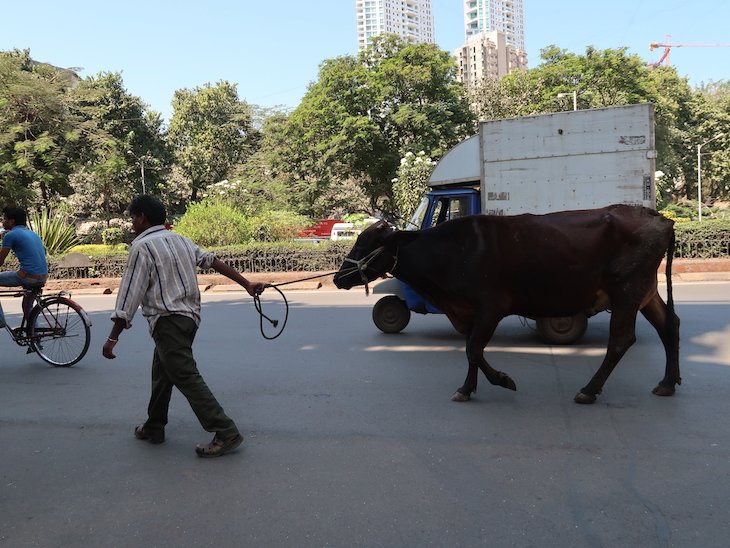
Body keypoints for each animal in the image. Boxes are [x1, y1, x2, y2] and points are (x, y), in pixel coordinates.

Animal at [332, 203, 680, 404]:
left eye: (364, 243)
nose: (337, 278)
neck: (450, 253)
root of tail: (660, 218)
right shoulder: (469, 314)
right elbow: (470, 351)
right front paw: (467, 388)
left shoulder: (491, 308)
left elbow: (474, 349)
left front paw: (501, 380)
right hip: (646, 293)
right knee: (669, 326)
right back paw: (668, 382)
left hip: (627, 292)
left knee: (621, 340)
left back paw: (589, 390)